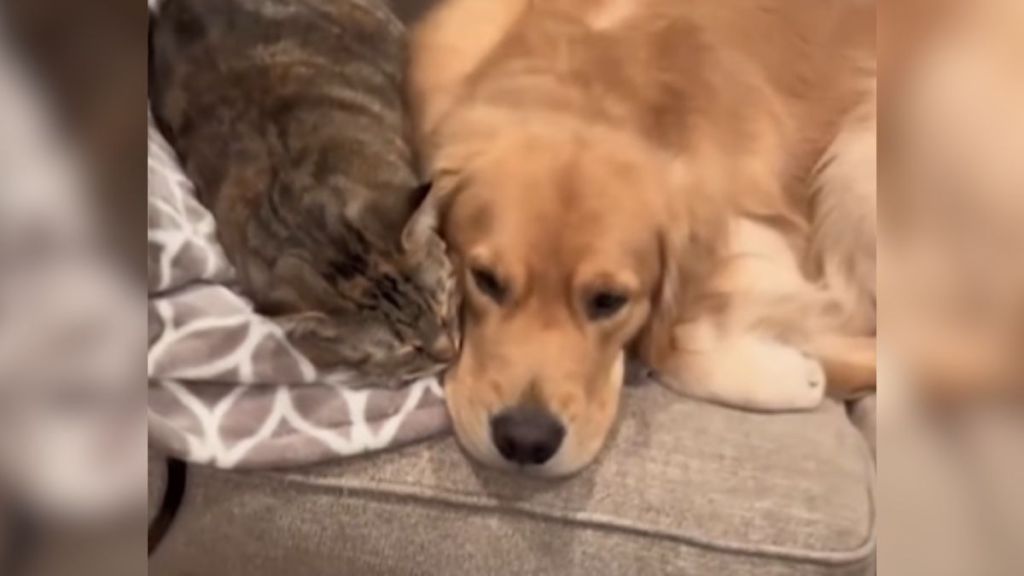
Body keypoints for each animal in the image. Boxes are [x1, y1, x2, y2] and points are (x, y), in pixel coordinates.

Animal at [407, 0, 880, 475]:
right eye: (485, 280)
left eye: (608, 301)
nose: (525, 440)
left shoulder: (764, 244)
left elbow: (666, 342)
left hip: (855, 157)